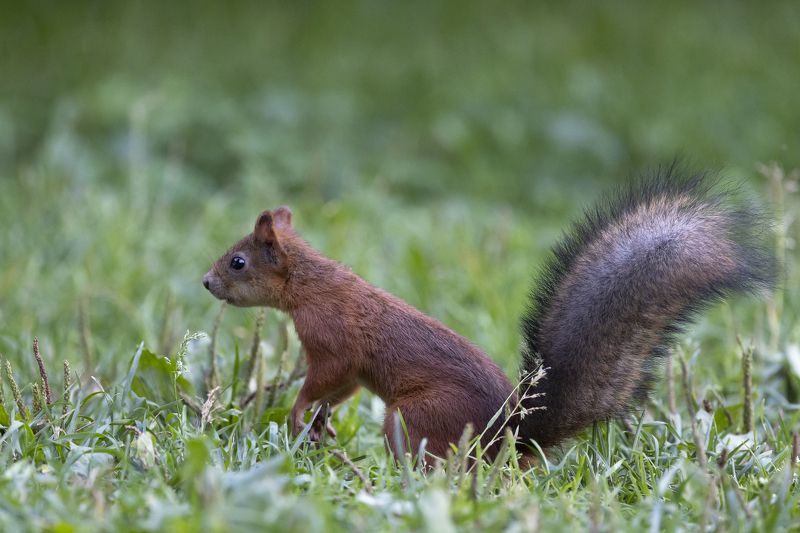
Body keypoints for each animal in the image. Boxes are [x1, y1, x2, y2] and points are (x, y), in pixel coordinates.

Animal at [203, 166, 775, 460]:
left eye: (238, 262)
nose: (206, 282)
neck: (310, 285)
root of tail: (508, 432)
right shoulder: (345, 364)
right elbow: (338, 391)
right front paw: (318, 425)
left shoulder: (333, 339)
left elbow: (324, 377)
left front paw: (299, 412)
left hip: (417, 415)